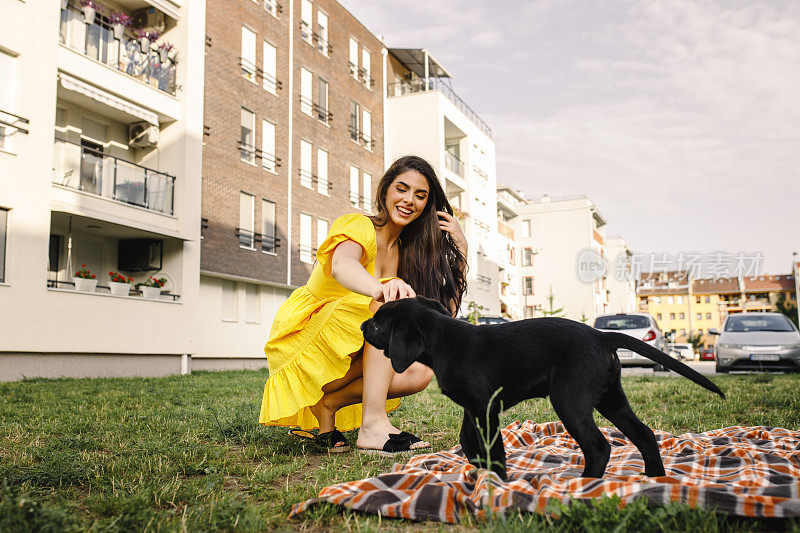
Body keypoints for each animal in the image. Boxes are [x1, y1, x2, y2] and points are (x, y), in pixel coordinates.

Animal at [362, 298, 724, 480]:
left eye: (379, 323)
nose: (363, 325)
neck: (442, 341)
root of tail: (602, 335)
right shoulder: (474, 407)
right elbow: (468, 440)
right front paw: (478, 468)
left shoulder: (486, 407)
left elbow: (493, 447)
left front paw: (497, 482)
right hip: (610, 399)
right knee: (645, 434)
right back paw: (655, 478)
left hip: (569, 399)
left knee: (599, 446)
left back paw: (584, 485)